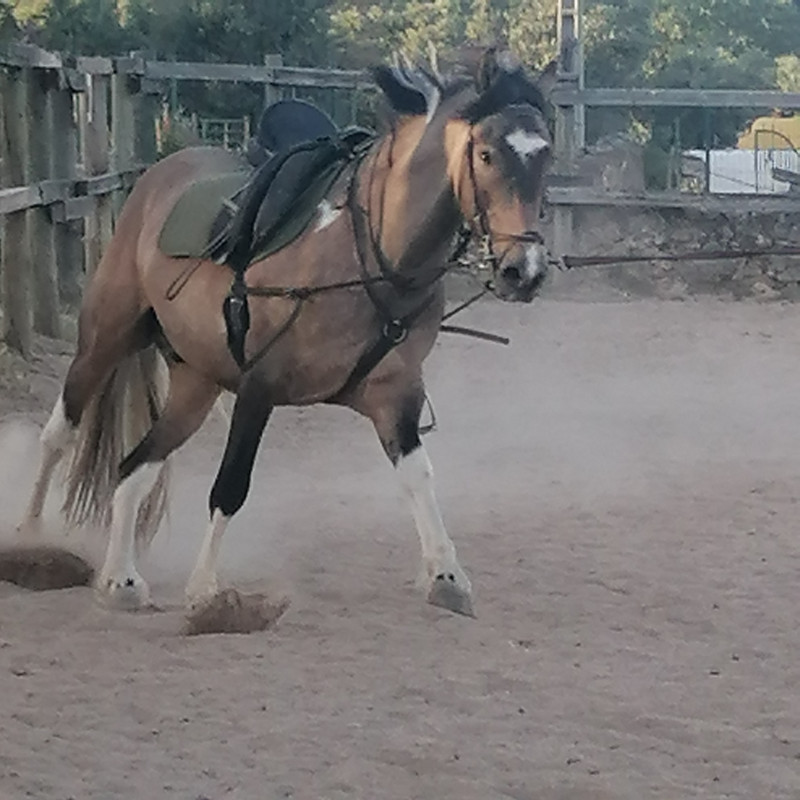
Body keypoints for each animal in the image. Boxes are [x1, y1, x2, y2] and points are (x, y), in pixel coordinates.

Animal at [17, 48, 556, 620]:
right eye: (486, 154)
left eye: (546, 154)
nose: (524, 271)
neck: (369, 255)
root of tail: (156, 176)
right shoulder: (260, 387)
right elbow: (231, 486)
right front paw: (207, 592)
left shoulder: (396, 393)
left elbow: (419, 476)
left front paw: (447, 575)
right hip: (105, 337)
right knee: (60, 433)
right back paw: (31, 540)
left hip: (195, 384)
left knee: (133, 468)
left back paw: (121, 580)